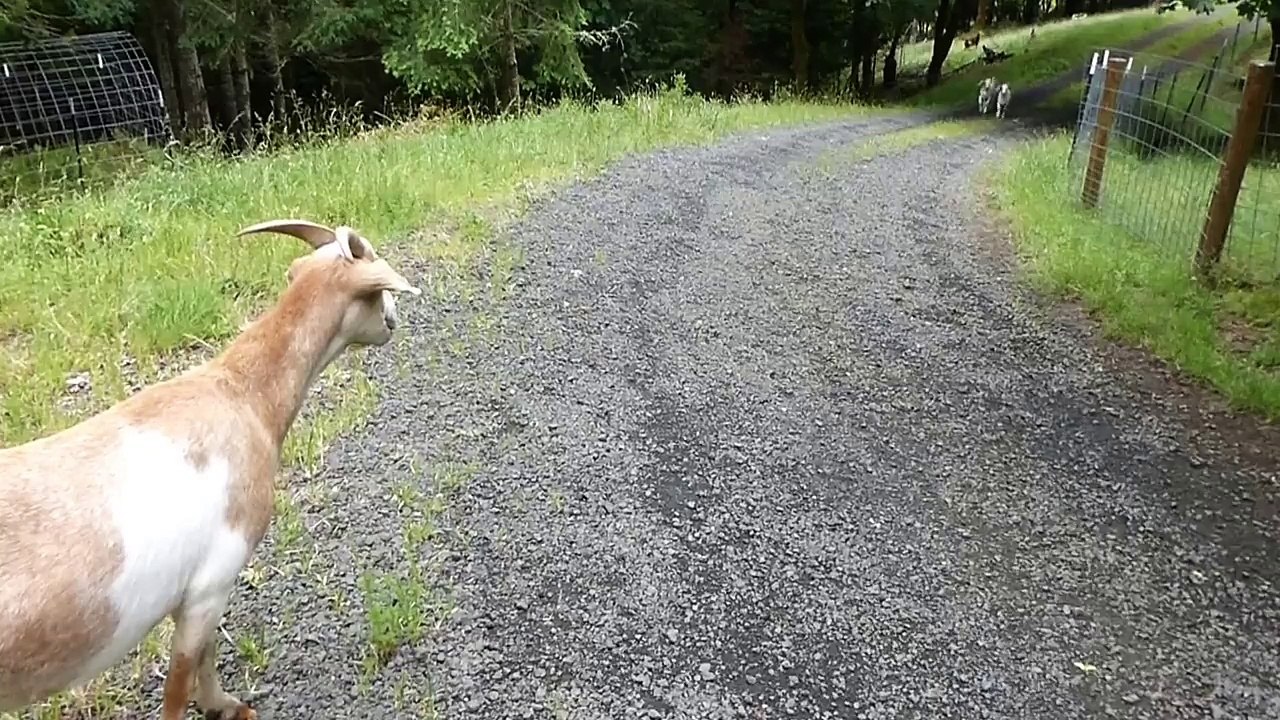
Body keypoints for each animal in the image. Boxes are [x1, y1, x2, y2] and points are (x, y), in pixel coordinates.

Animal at [0, 219, 420, 719]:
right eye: (378, 282)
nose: (393, 318)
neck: (240, 393)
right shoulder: (211, 581)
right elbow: (187, 673)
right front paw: (223, 705)